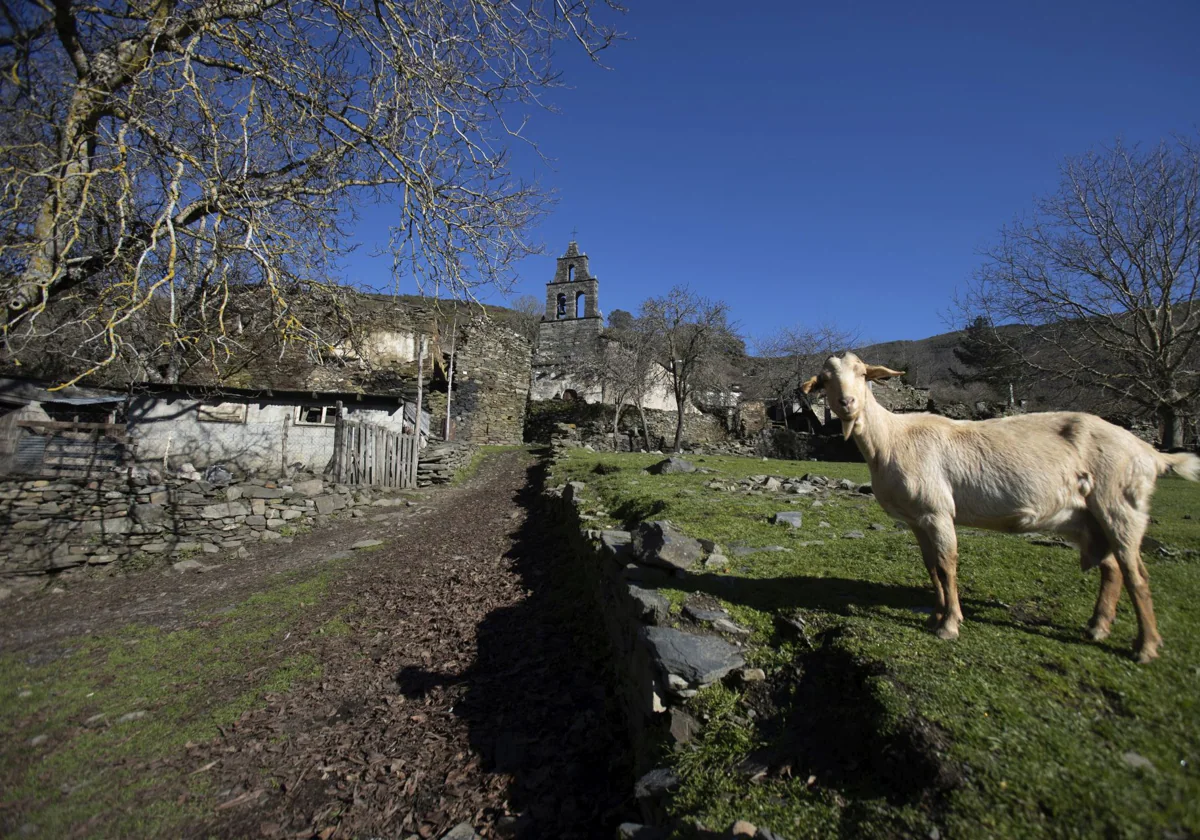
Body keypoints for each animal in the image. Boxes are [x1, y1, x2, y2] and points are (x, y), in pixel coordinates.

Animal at [796, 350, 1200, 657]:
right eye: (825, 380)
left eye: (863, 374)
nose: (847, 403)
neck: (892, 439)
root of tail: (1149, 451)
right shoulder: (918, 518)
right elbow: (931, 568)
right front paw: (936, 615)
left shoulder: (937, 511)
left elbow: (947, 566)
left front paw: (950, 625)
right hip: (1088, 516)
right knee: (1112, 568)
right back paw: (1098, 627)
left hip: (1121, 504)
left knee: (1136, 573)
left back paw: (1146, 646)